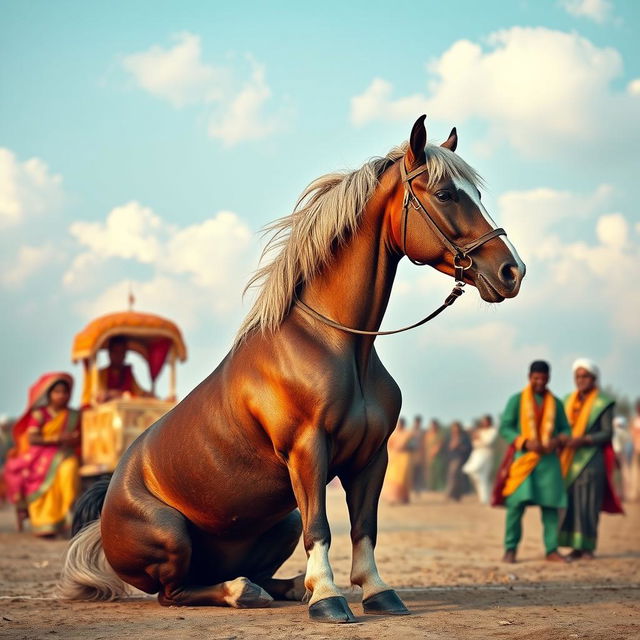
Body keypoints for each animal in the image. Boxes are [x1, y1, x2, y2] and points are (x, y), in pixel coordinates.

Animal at [60, 115, 524, 624]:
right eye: (444, 194)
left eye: (474, 192)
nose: (512, 271)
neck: (335, 345)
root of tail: (109, 503)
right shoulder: (307, 450)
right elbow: (321, 526)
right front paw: (328, 598)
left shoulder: (372, 457)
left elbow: (364, 526)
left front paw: (376, 591)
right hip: (171, 536)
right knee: (177, 590)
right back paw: (243, 591)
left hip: (279, 519)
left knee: (259, 574)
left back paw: (284, 588)